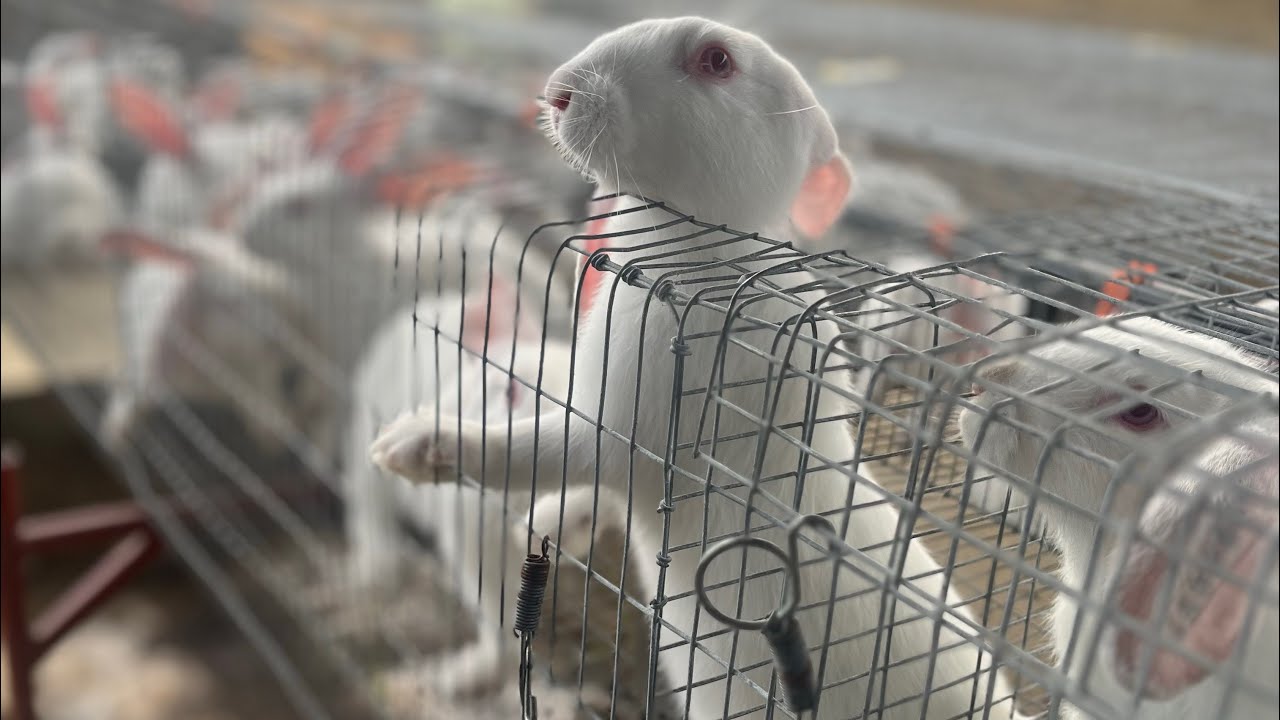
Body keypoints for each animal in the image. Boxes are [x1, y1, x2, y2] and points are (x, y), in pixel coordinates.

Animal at [372, 18, 1030, 720]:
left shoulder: (620, 426)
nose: (557, 93)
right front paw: (551, 521)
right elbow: (586, 497)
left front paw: (411, 444)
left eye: (716, 61)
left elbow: (533, 454)